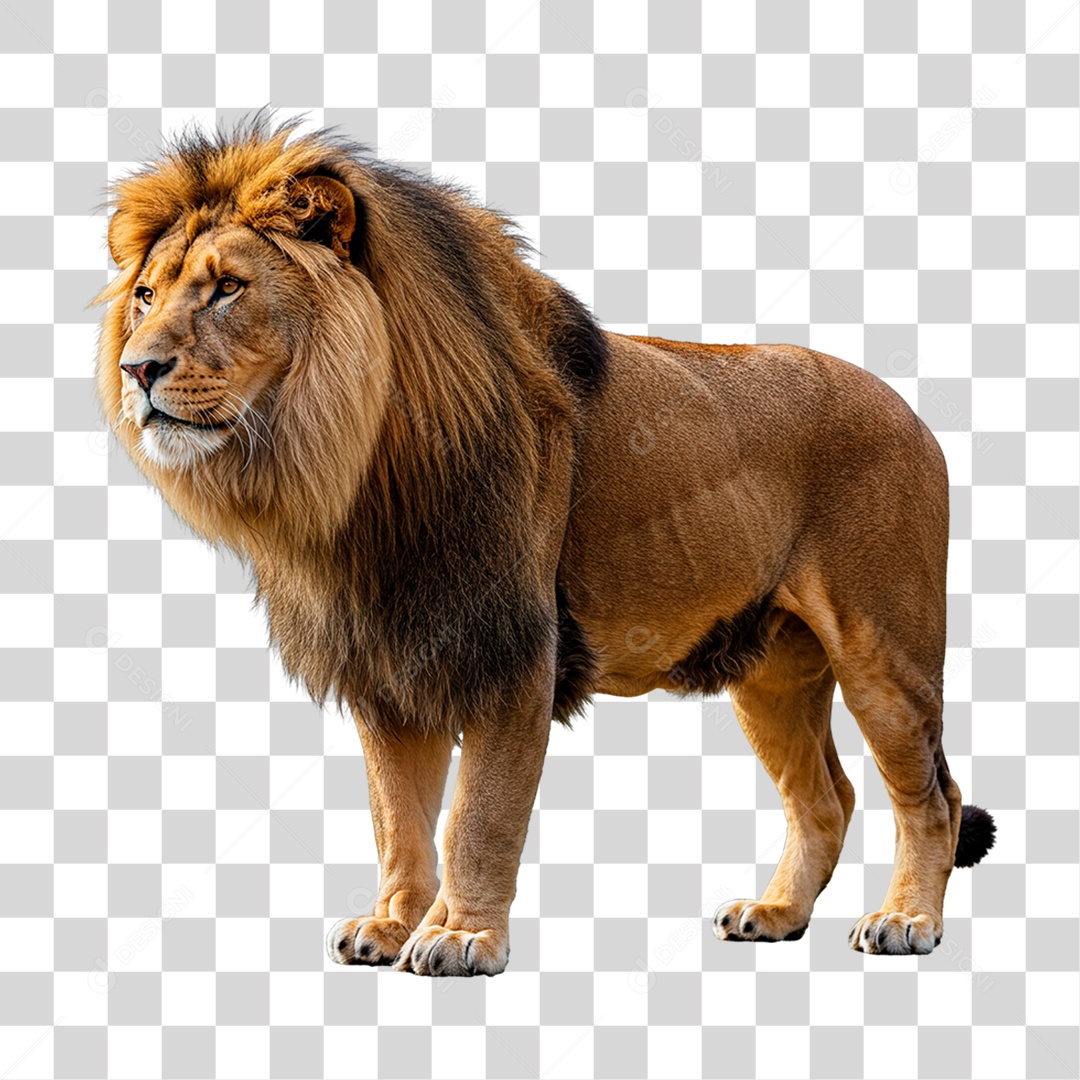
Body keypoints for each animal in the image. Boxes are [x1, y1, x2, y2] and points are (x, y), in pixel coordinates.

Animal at [94, 117, 995, 975]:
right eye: (145, 295)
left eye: (227, 289)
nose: (138, 370)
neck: (353, 475)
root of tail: (912, 414)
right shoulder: (388, 667)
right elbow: (399, 820)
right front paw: (390, 925)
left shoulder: (514, 655)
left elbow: (478, 817)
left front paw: (461, 938)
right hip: (771, 672)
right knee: (825, 798)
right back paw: (775, 914)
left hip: (885, 653)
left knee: (931, 798)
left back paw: (906, 922)